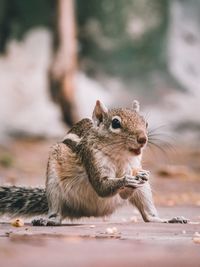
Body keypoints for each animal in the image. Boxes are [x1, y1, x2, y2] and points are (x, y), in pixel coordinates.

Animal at [0, 100, 188, 226]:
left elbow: (125, 191)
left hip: (144, 192)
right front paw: (125, 180)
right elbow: (101, 186)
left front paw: (142, 175)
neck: (119, 156)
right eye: (115, 123)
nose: (143, 139)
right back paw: (50, 220)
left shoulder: (133, 166)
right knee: (57, 212)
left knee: (148, 215)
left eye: (146, 122)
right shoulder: (92, 159)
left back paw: (168, 219)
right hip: (53, 184)